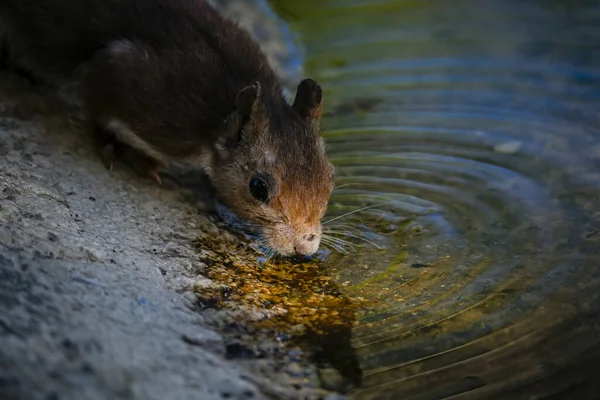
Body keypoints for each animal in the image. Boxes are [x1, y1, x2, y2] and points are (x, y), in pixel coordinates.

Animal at [0, 0, 336, 256]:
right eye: (258, 187)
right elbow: (95, 108)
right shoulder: (126, 78)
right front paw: (122, 151)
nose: (305, 248)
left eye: (331, 176)